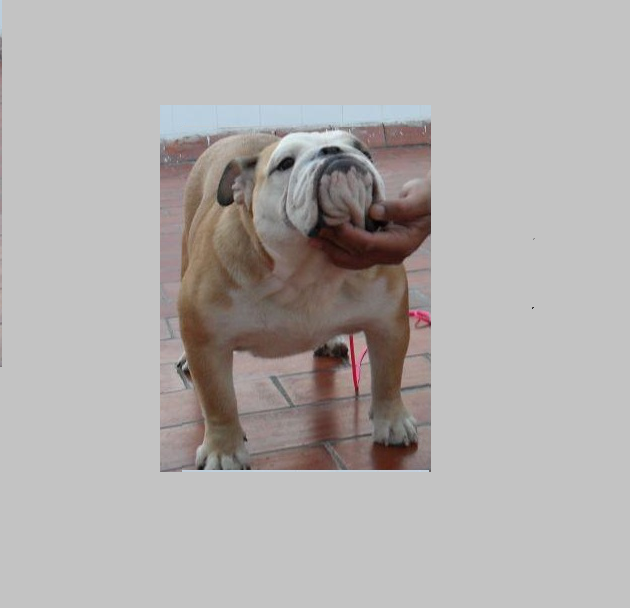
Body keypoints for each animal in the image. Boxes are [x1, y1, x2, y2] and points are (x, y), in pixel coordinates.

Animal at [177, 131, 417, 469]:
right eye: (285, 163)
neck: (308, 270)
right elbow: (218, 401)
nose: (333, 151)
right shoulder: (207, 342)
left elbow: (388, 377)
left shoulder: (388, 324)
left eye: (364, 152)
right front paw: (223, 451)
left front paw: (392, 422)